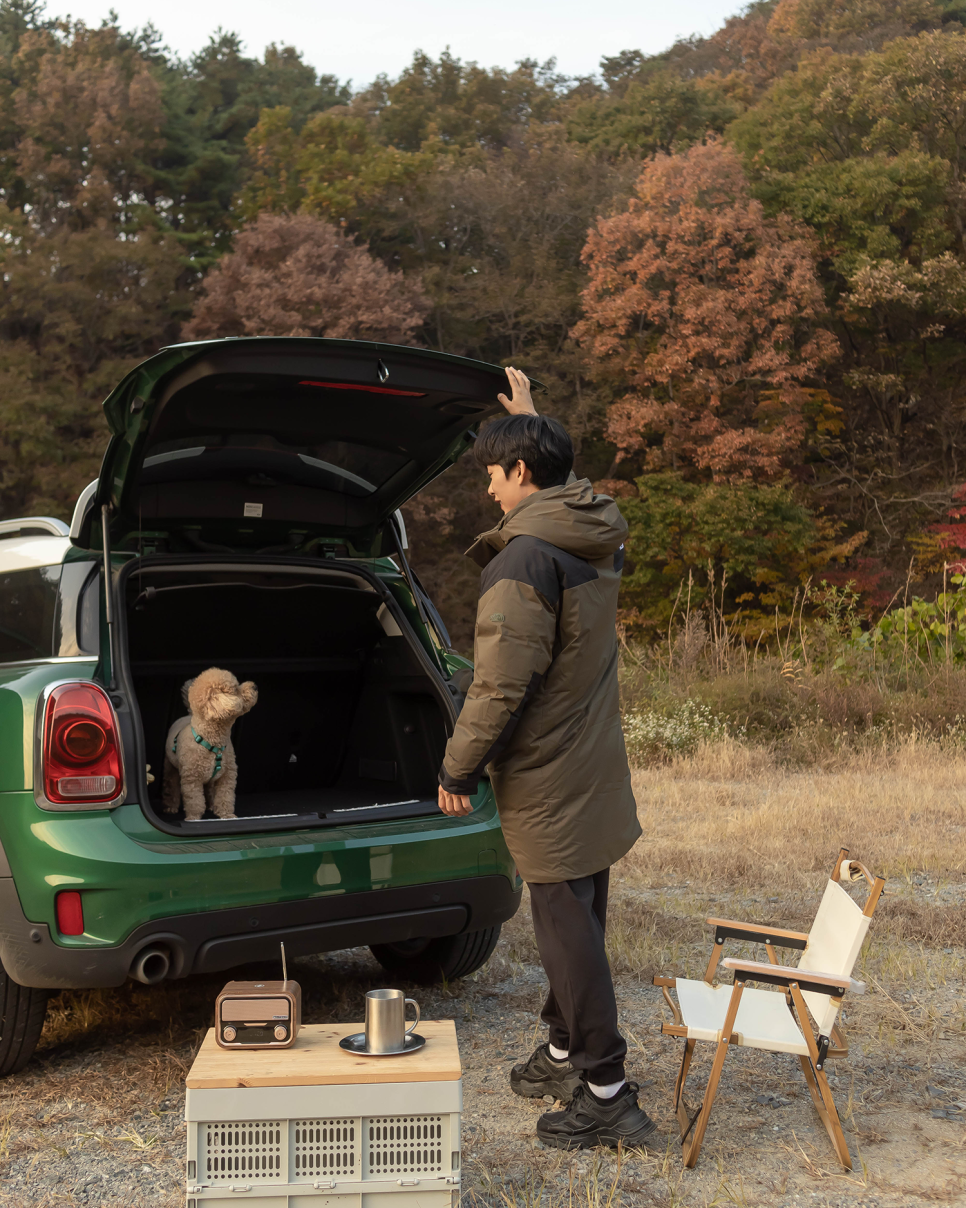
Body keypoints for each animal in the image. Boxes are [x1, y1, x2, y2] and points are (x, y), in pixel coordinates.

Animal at [164, 666, 258, 826]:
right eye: (235, 689)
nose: (255, 686)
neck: (213, 742)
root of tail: (188, 715)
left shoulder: (227, 776)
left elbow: (225, 797)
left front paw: (226, 814)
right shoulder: (192, 780)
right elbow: (195, 801)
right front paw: (193, 818)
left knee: (209, 789)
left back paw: (212, 805)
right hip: (171, 767)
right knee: (171, 786)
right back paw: (170, 807)